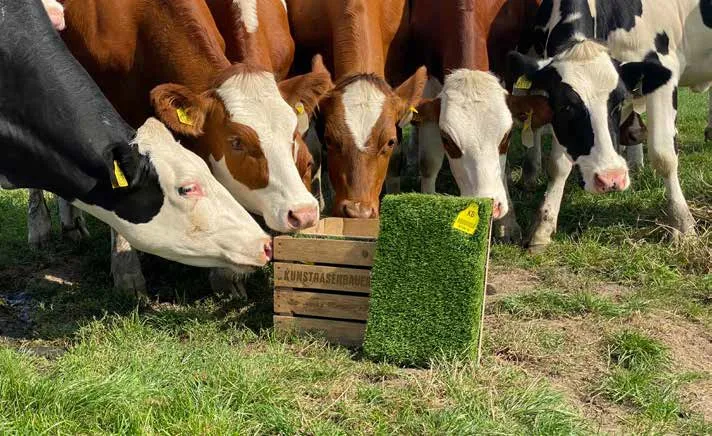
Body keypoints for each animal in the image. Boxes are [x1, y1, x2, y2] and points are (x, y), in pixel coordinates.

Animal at [49, 0, 331, 291]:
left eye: (293, 140)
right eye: (236, 142)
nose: (304, 213)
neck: (140, 20)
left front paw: (226, 273)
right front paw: (126, 270)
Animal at [510, 0, 709, 249]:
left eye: (619, 102)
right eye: (565, 107)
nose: (611, 178)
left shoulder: (663, 67)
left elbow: (664, 156)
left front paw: (683, 224)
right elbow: (558, 164)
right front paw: (543, 226)